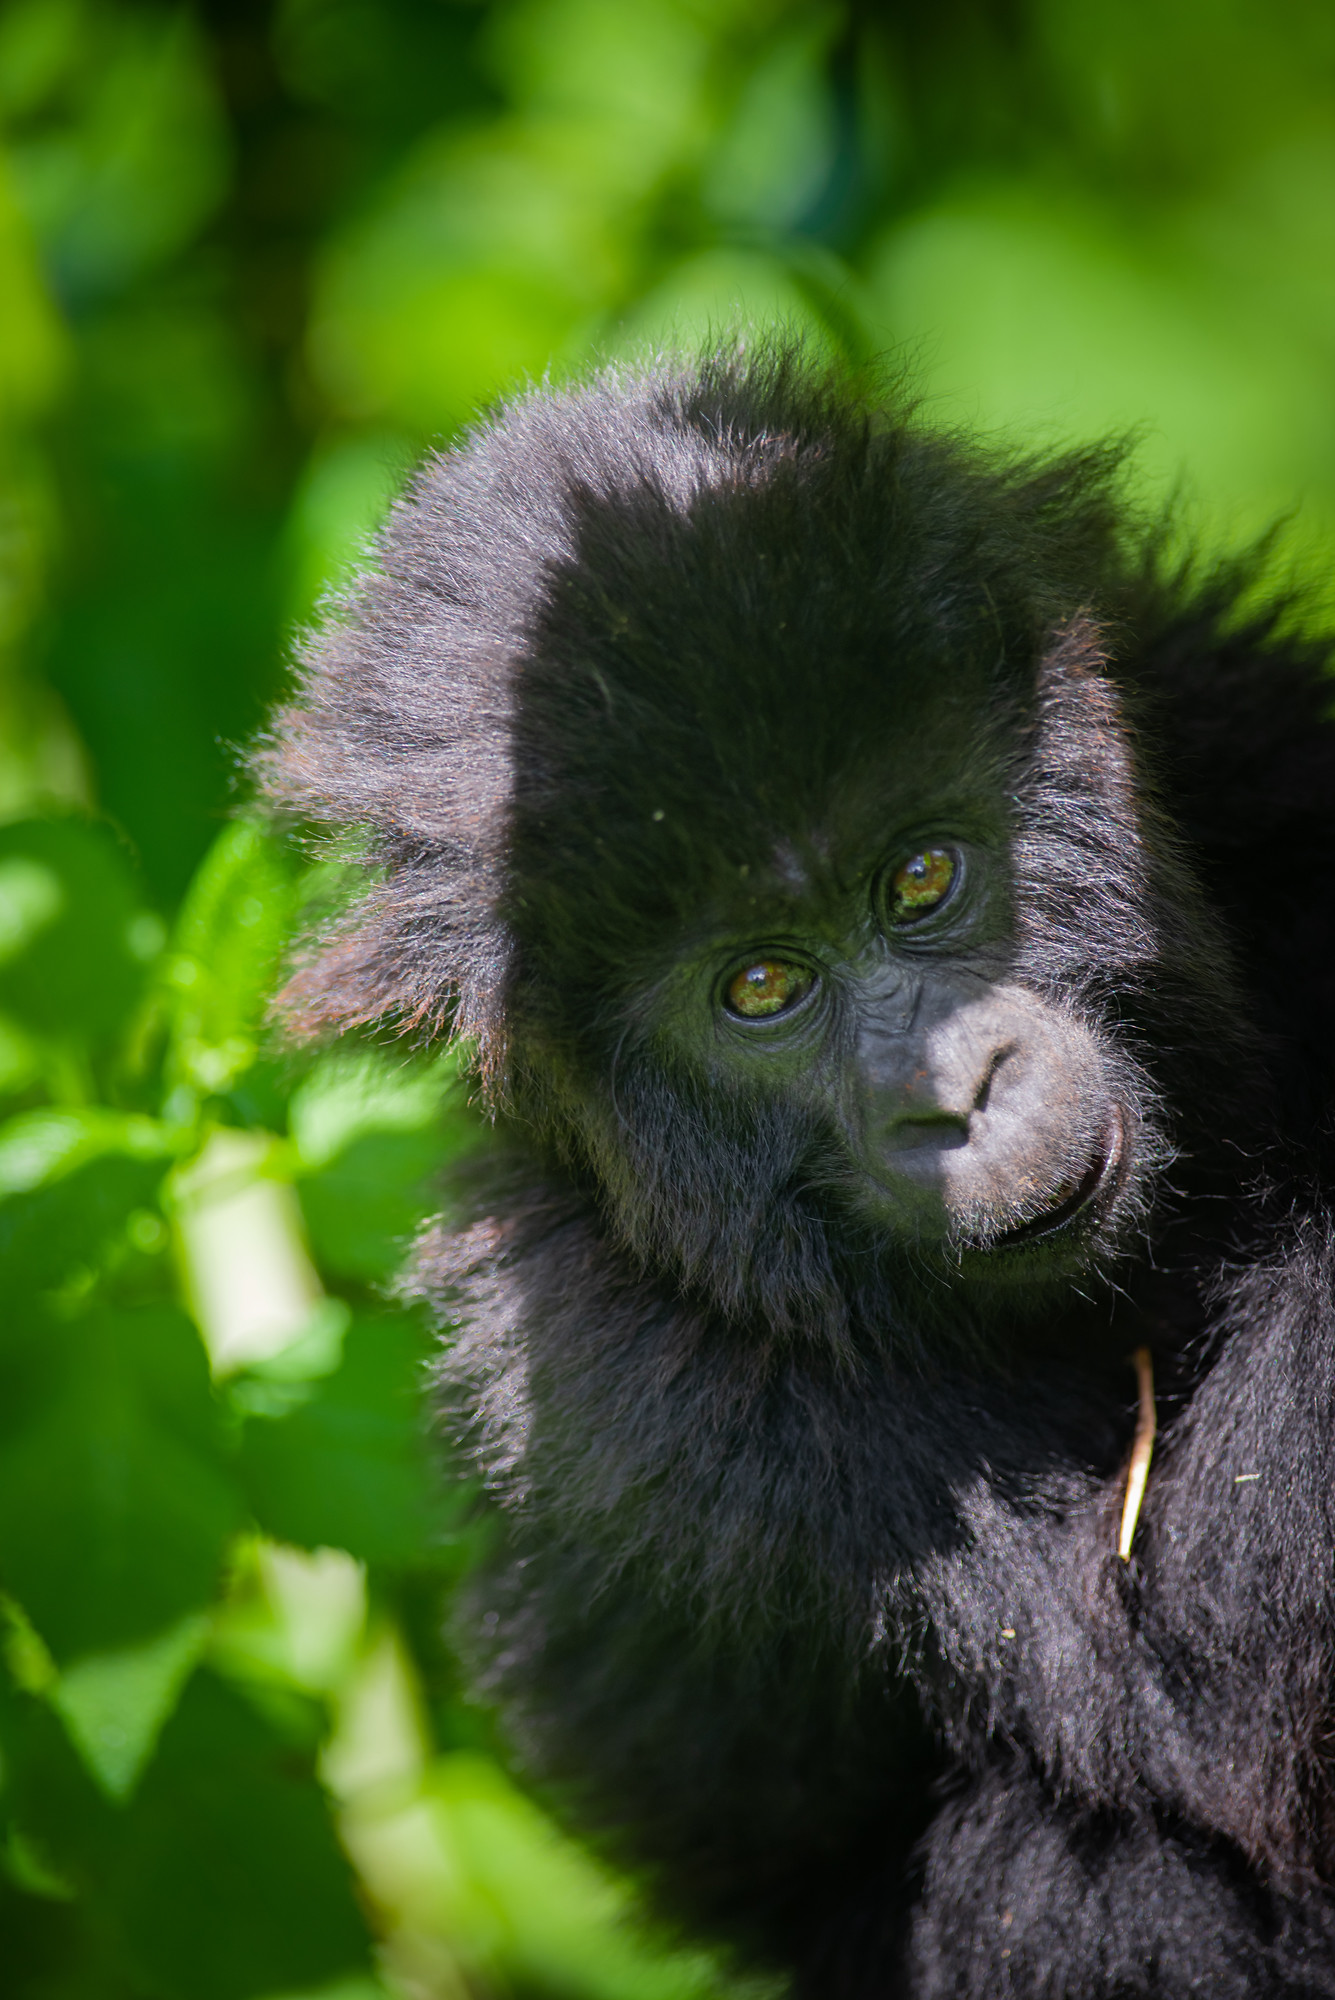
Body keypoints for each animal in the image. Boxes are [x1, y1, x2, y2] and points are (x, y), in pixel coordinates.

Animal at [259, 348, 1335, 2000]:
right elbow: (1204, 1684)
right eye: (760, 988)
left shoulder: (1222, 714)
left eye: (918, 878)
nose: (953, 1095)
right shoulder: (632, 1383)